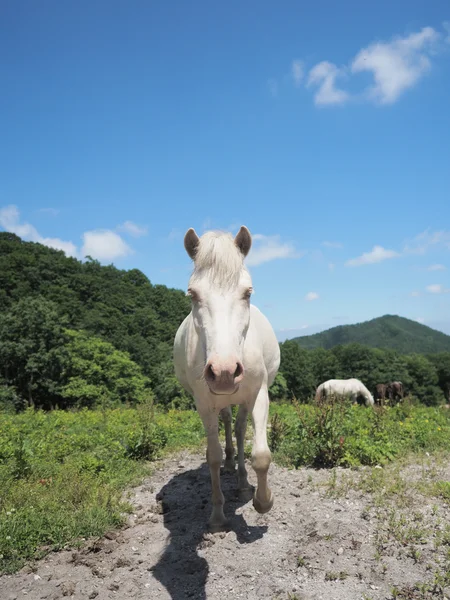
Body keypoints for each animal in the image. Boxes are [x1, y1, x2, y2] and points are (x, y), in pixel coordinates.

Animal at [174, 227, 280, 532]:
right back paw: (232, 464)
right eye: (192, 293)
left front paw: (263, 501)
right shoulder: (204, 403)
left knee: (241, 429)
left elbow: (261, 454)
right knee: (229, 423)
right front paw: (218, 515)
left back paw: (243, 481)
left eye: (247, 292)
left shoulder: (258, 395)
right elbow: (213, 456)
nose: (224, 371)